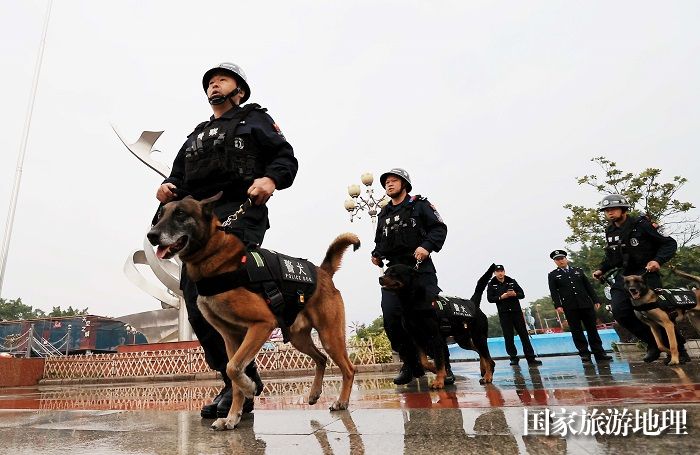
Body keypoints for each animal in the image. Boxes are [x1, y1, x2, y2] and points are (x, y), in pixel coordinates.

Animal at [146, 192, 358, 432]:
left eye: (180, 214)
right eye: (159, 216)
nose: (151, 236)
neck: (214, 255)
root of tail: (323, 272)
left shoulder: (262, 324)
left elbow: (233, 368)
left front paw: (249, 388)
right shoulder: (230, 338)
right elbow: (232, 371)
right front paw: (232, 417)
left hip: (329, 336)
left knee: (348, 368)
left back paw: (342, 401)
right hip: (298, 338)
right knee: (321, 358)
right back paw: (314, 393)